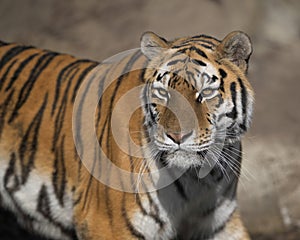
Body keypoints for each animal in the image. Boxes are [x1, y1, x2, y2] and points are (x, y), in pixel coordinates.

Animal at [0, 30, 253, 240]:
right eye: (163, 92)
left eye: (206, 92)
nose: (176, 136)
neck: (198, 179)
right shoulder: (106, 224)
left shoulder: (220, 224)